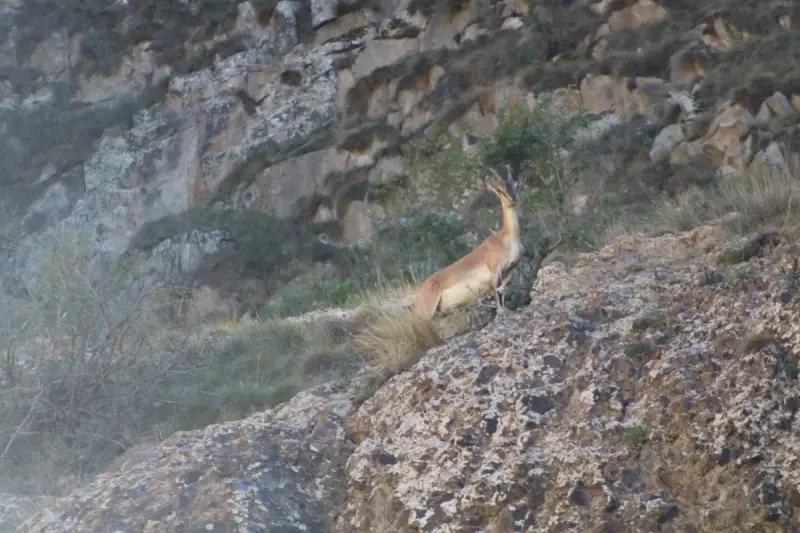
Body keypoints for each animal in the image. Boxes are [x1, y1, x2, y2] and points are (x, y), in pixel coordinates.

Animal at [412, 164, 524, 318]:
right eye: (499, 190)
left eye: (516, 185)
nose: (512, 199)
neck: (505, 239)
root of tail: (423, 289)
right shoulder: (495, 271)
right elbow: (497, 292)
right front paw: (501, 311)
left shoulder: (509, 271)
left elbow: (502, 292)